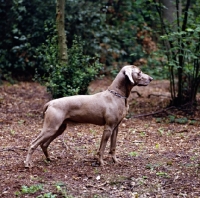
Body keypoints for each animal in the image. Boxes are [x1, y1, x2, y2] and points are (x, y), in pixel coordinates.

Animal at [25, 65, 153, 168]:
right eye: (139, 72)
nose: (151, 78)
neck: (117, 95)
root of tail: (50, 103)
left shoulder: (116, 128)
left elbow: (113, 147)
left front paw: (115, 161)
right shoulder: (108, 127)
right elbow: (102, 148)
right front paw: (101, 162)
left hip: (59, 128)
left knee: (44, 144)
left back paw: (49, 159)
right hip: (51, 128)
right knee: (33, 144)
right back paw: (28, 164)